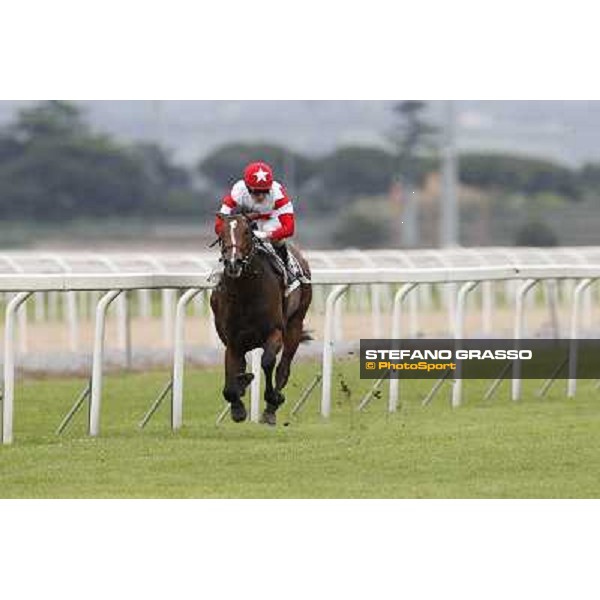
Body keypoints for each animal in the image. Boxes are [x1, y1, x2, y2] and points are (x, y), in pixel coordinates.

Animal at [211, 213, 314, 424]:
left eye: (247, 232)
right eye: (221, 233)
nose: (233, 263)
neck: (246, 292)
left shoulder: (275, 332)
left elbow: (267, 362)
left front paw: (273, 398)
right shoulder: (232, 340)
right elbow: (230, 375)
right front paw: (238, 407)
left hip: (295, 325)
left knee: (283, 368)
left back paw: (271, 408)